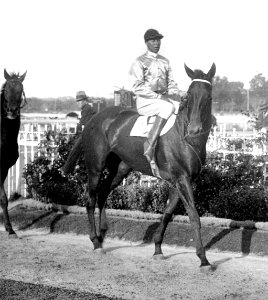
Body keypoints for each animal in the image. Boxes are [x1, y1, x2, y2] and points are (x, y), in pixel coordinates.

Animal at [62, 62, 216, 268]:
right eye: (189, 95)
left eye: (209, 96)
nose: (194, 129)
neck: (184, 137)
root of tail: (94, 119)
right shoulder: (182, 179)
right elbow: (194, 216)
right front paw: (203, 259)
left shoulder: (181, 181)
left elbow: (167, 213)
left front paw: (158, 248)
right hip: (95, 167)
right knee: (90, 198)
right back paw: (95, 241)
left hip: (120, 169)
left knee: (103, 192)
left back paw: (102, 235)